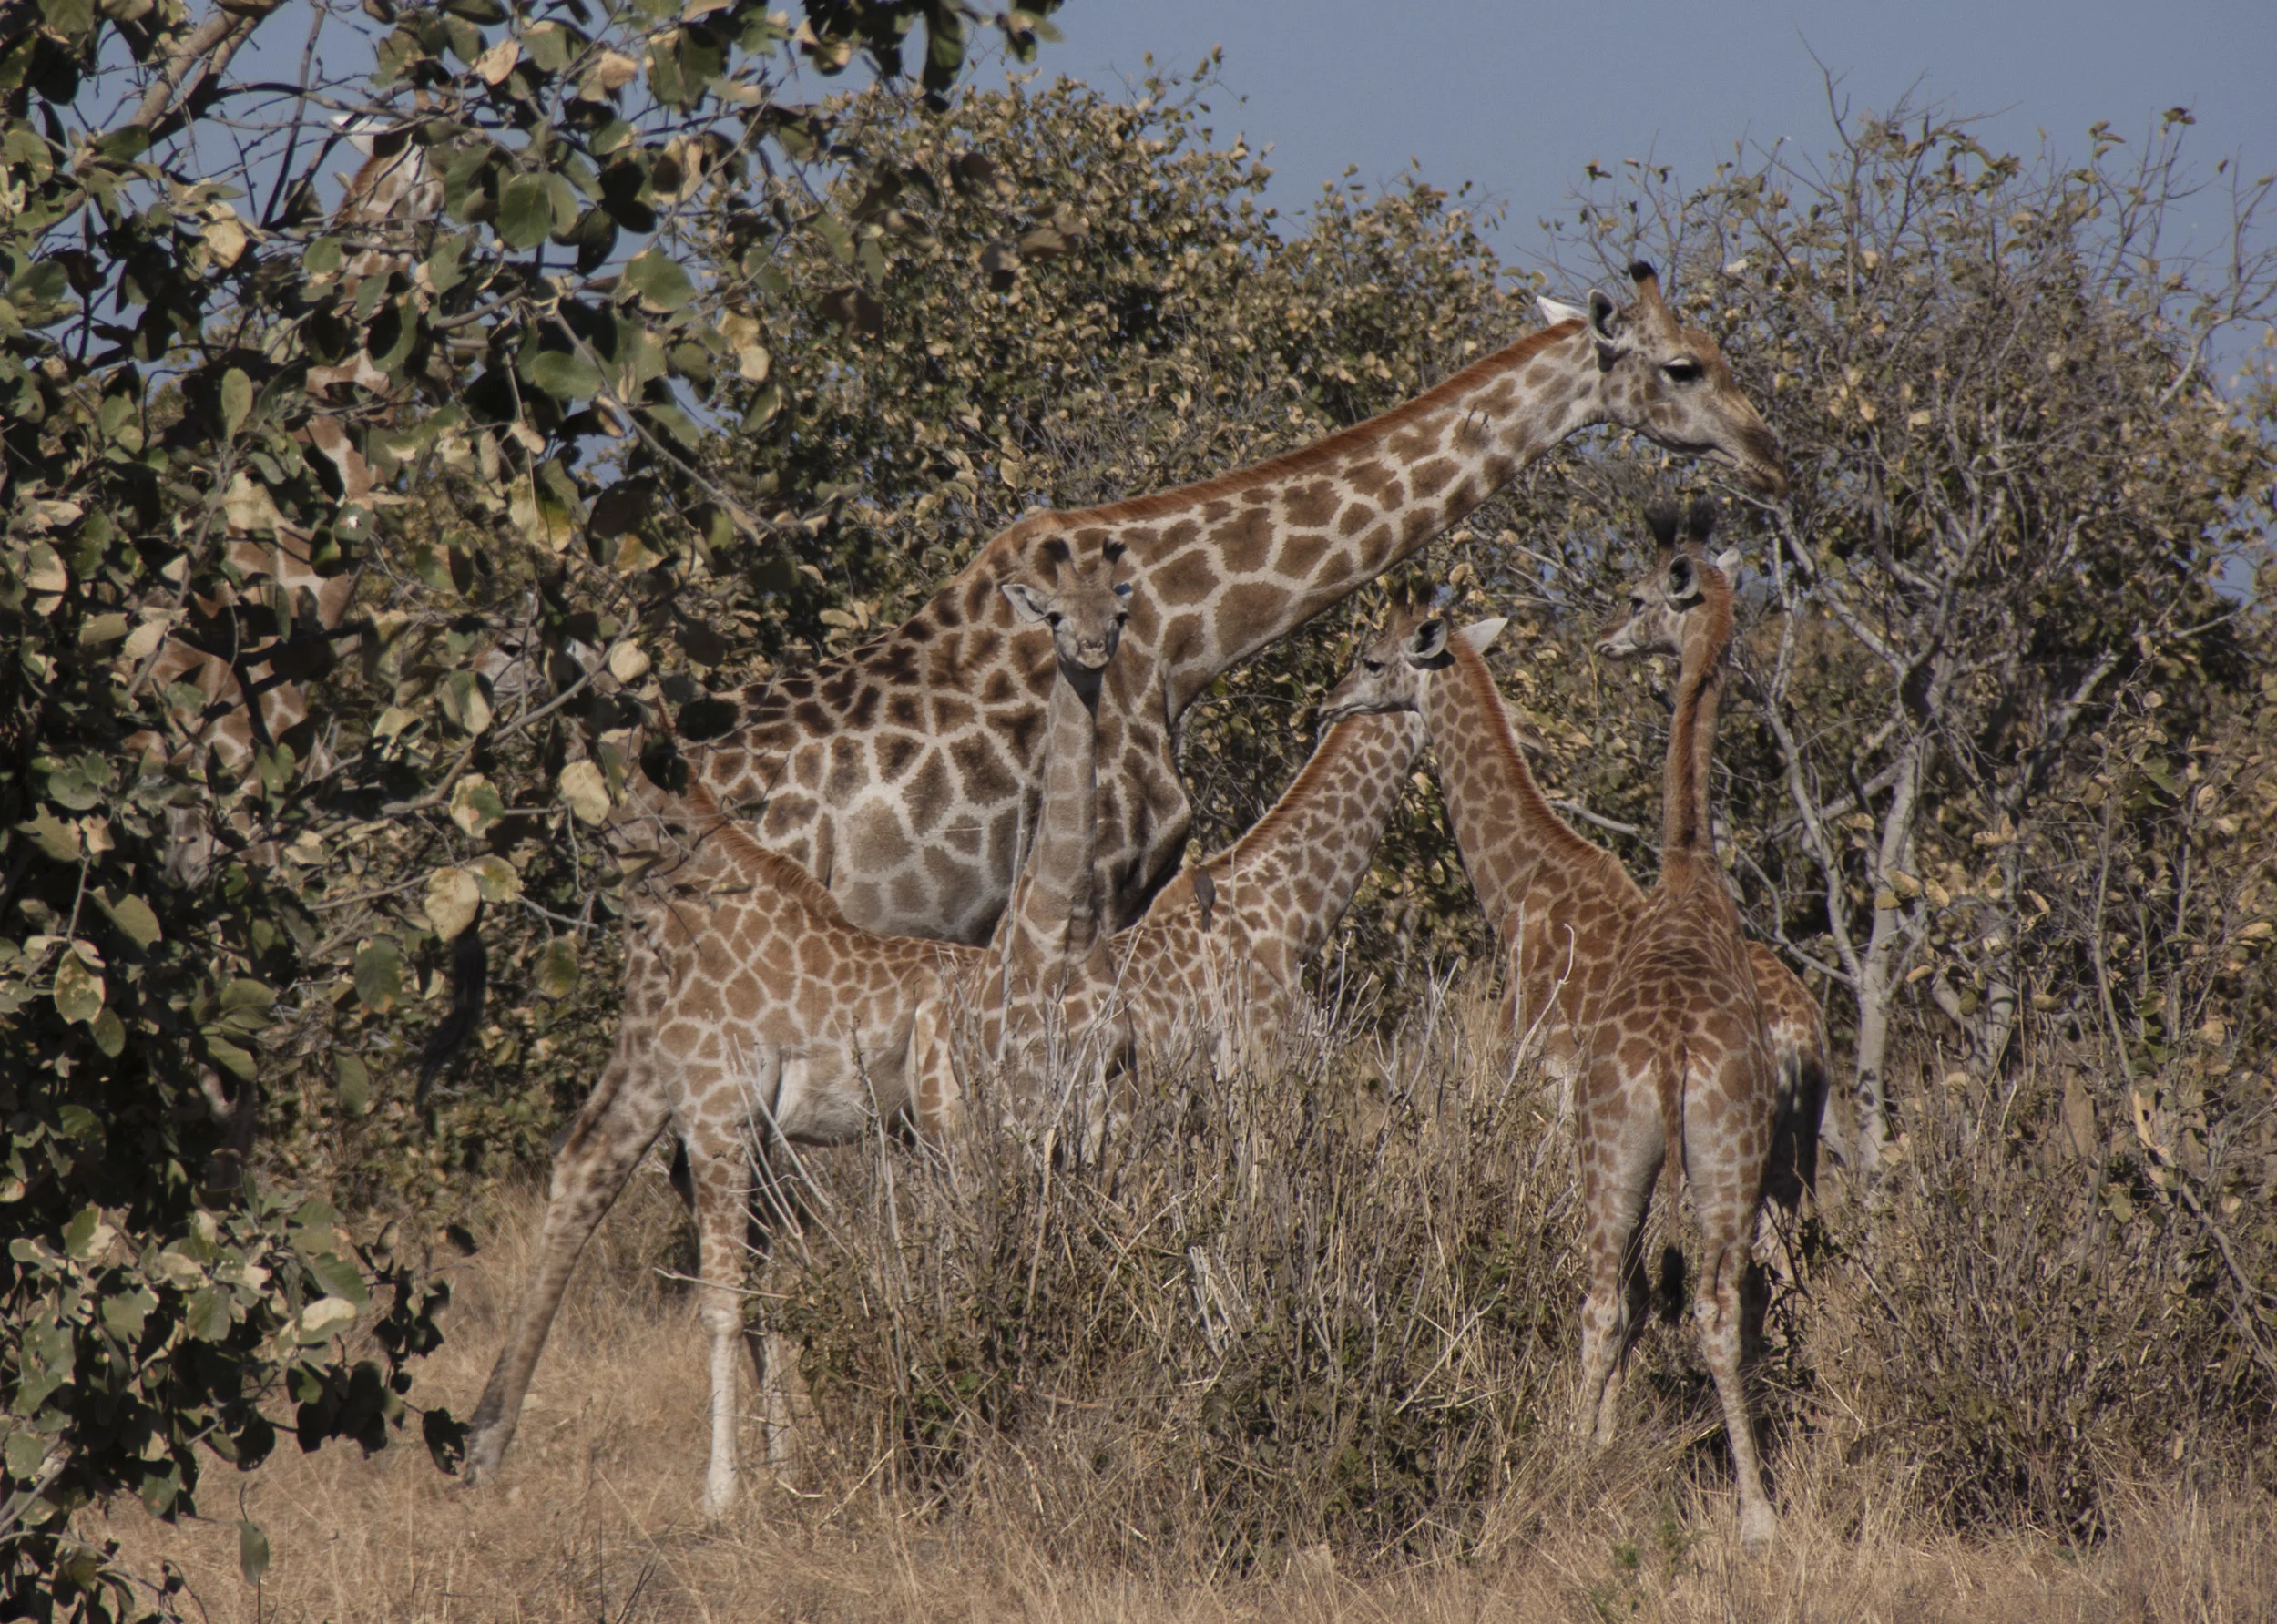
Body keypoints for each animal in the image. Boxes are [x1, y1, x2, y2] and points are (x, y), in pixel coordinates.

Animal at [462, 547, 1133, 1518]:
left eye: (515, 639)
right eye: (1051, 611)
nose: (478, 709)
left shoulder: (735, 1112)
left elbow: (738, 1295)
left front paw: (732, 1487)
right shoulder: (727, 1113)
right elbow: (743, 1289)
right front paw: (750, 1478)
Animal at [1316, 588, 1828, 1210]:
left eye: (1370, 661)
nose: (1328, 705)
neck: (1517, 886)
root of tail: (1802, 1033)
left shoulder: (1542, 1072)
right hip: (1795, 1147)